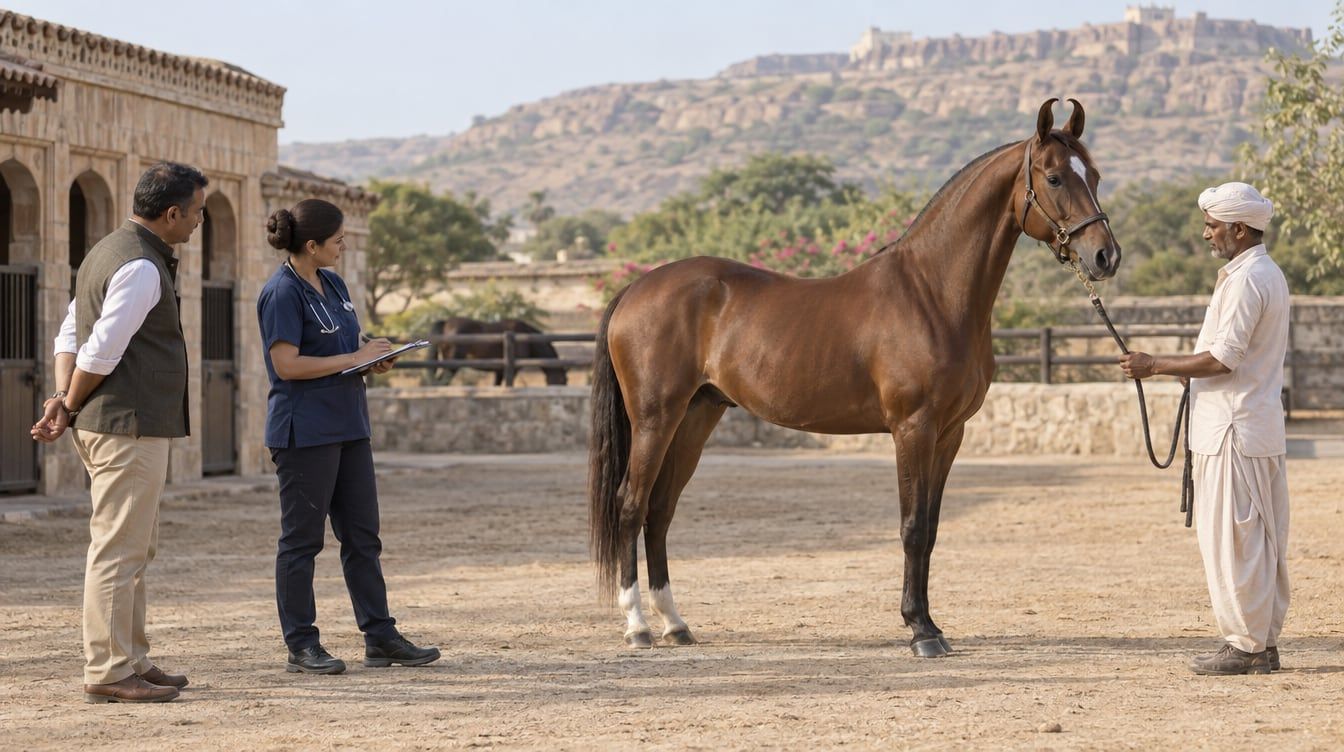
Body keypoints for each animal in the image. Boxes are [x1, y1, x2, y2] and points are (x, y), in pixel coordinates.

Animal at [428, 317, 567, 386]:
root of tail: (446, 323)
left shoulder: (499, 371)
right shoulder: (512, 370)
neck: (526, 338)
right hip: (452, 366)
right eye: (562, 381)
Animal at [587, 99, 1121, 656]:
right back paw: (638, 626)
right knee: (631, 505)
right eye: (1055, 177)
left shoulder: (950, 433)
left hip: (696, 417)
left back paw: (675, 623)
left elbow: (931, 530)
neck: (932, 293)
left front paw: (932, 625)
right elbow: (912, 527)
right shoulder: (913, 428)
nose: (1106, 256)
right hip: (655, 419)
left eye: (1095, 176)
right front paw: (920, 631)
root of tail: (636, 288)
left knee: (660, 510)